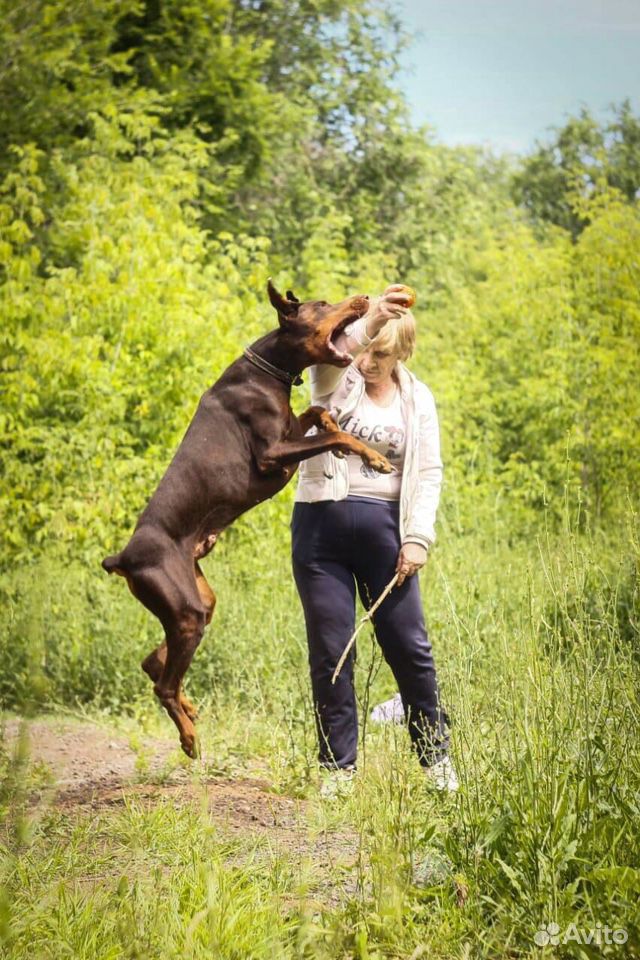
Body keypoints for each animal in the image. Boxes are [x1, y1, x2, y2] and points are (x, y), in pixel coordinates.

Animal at [104, 280, 396, 756]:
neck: (269, 370)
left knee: (154, 662)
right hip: (185, 610)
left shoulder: (291, 432)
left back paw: (189, 709)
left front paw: (335, 426)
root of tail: (122, 559)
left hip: (198, 601)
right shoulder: (273, 454)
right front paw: (371, 455)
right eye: (321, 304)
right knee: (162, 684)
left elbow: (319, 415)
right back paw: (188, 737)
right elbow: (336, 436)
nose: (365, 298)